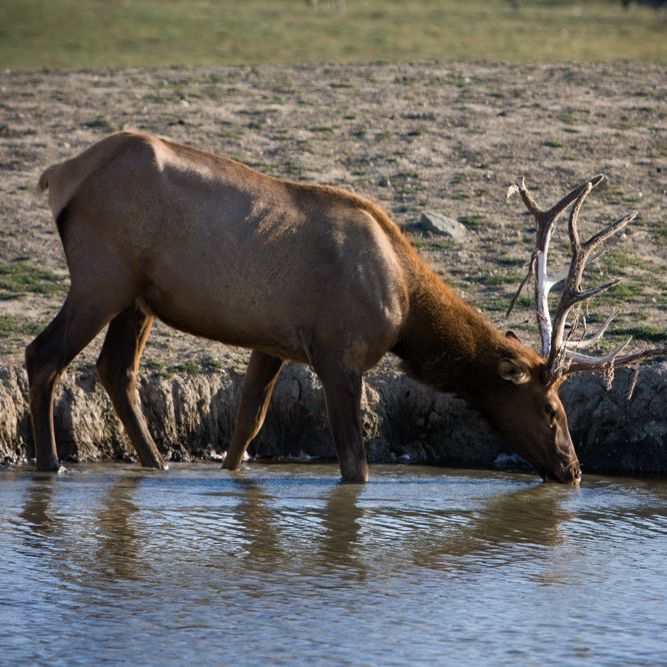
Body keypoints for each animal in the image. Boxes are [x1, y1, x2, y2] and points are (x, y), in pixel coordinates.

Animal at [29, 131, 664, 483]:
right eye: (552, 411)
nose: (574, 470)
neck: (406, 309)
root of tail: (58, 175)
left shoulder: (273, 342)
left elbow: (245, 428)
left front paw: (229, 474)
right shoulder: (340, 353)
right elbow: (355, 464)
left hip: (137, 296)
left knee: (116, 370)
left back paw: (156, 466)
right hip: (102, 276)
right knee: (44, 355)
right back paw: (50, 464)